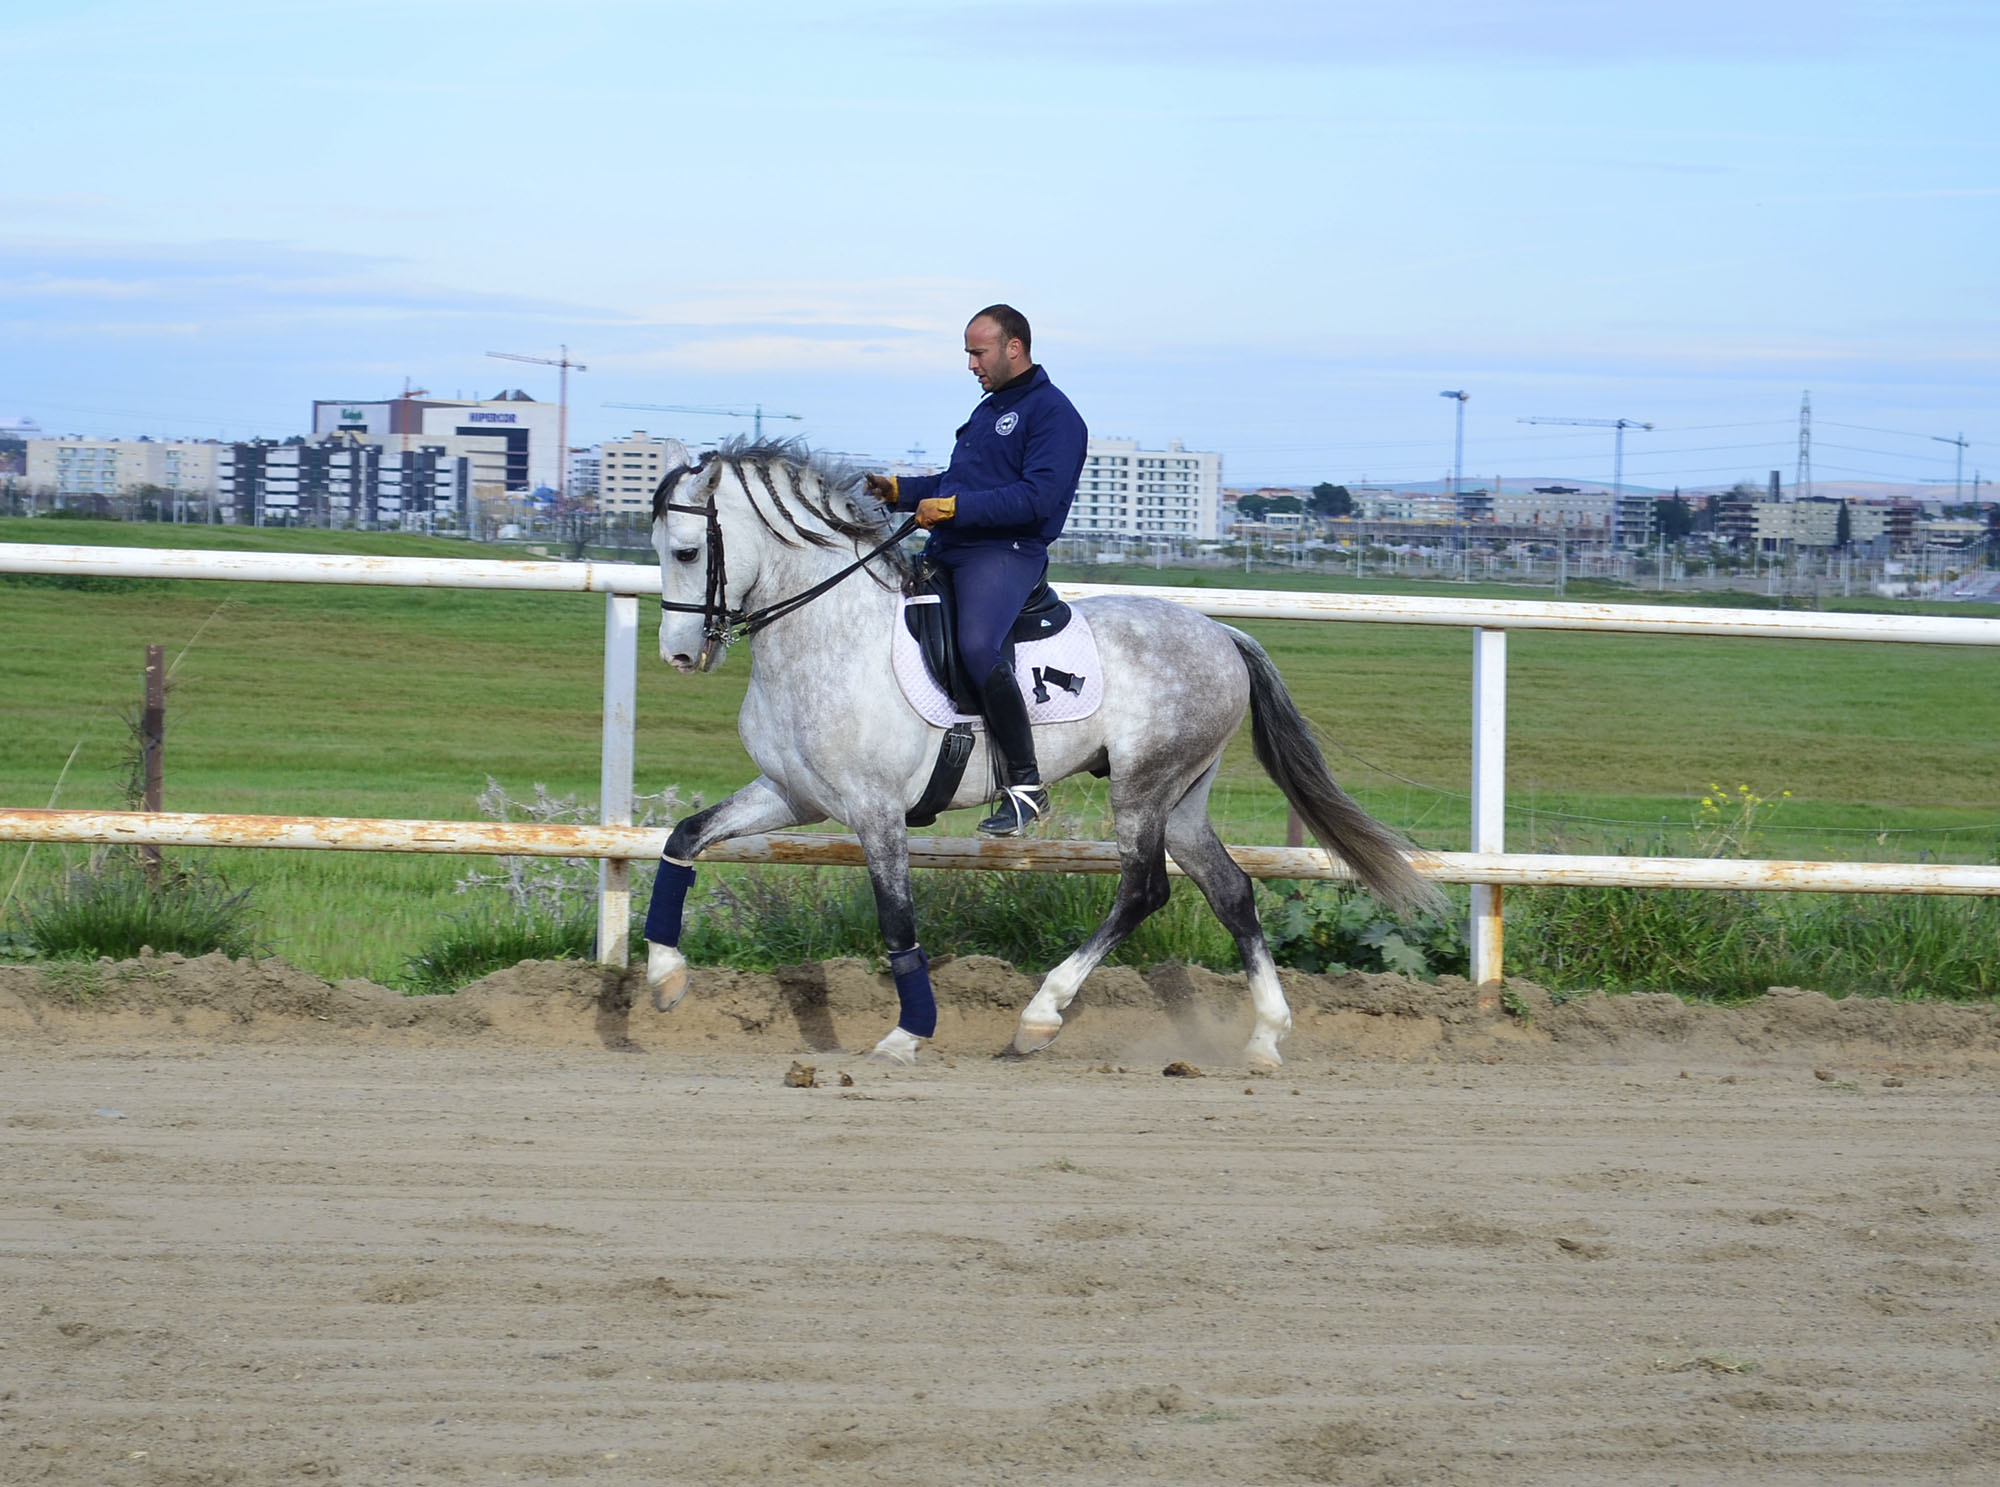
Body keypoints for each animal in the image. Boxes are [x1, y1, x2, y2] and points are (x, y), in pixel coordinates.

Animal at [640, 437, 1440, 1071]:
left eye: (686, 552)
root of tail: (1222, 633)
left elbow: (897, 920)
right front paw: (665, 976)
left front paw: (908, 1034)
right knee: (1231, 890)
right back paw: (1265, 1037)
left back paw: (1040, 1015)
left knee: (1144, 890)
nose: (679, 656)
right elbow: (684, 838)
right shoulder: (794, 794)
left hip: (1142, 789)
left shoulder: (875, 811)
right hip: (1182, 796)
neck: (828, 634)